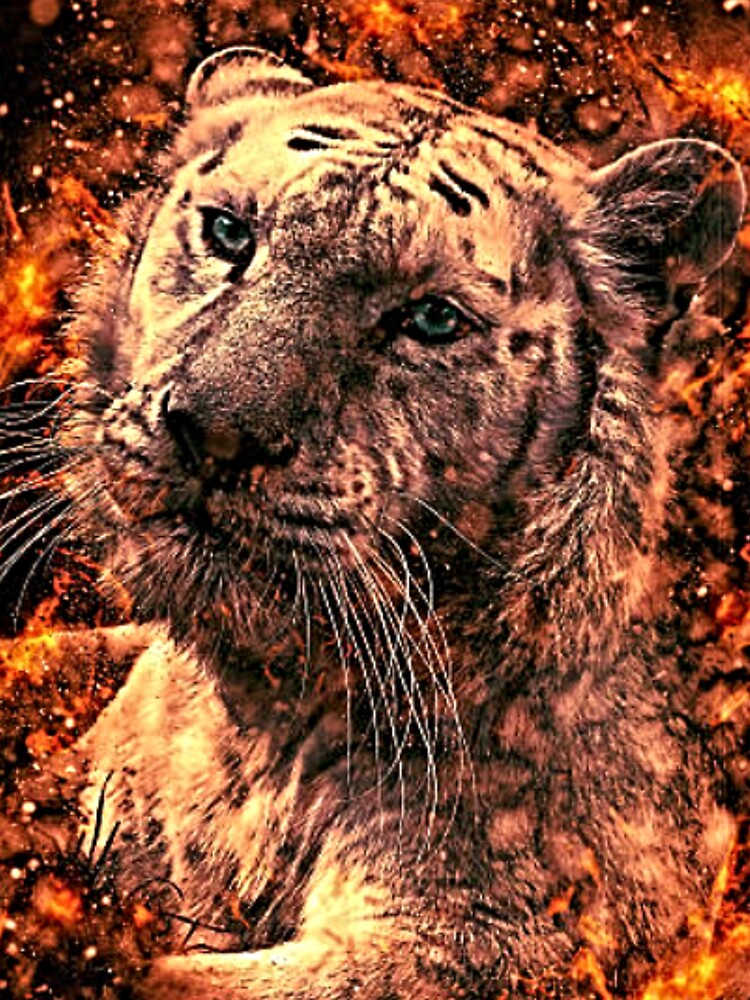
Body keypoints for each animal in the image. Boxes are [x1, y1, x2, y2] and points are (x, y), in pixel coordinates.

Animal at [29, 45, 749, 997]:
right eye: (229, 234)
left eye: (432, 319)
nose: (216, 431)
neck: (262, 726)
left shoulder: (480, 946)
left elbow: (163, 974)